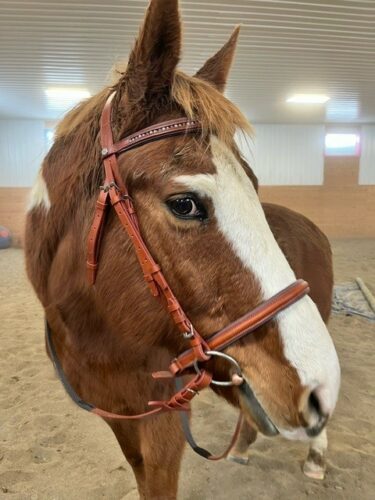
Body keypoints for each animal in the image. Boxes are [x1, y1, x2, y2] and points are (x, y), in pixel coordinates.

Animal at [23, 1, 340, 498]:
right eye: (185, 204)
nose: (320, 385)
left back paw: (315, 456)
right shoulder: (124, 425)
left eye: (254, 185)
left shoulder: (163, 430)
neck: (98, 337)